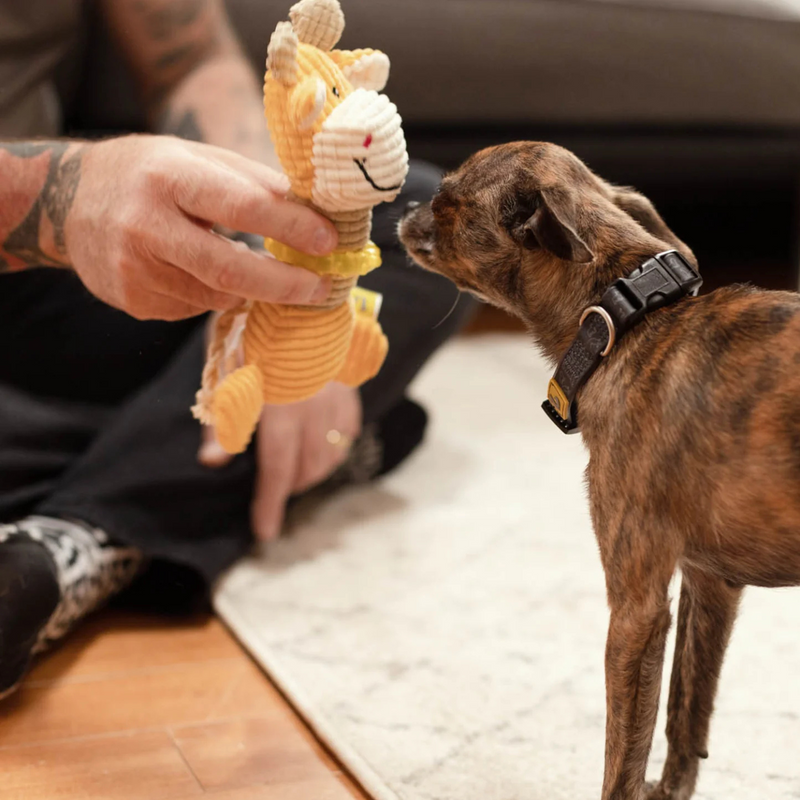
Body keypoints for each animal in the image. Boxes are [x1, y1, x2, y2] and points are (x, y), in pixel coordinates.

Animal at [404, 142, 800, 800]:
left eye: (443, 200)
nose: (405, 208)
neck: (628, 323)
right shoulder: (710, 584)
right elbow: (686, 717)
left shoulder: (636, 612)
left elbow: (623, 758)